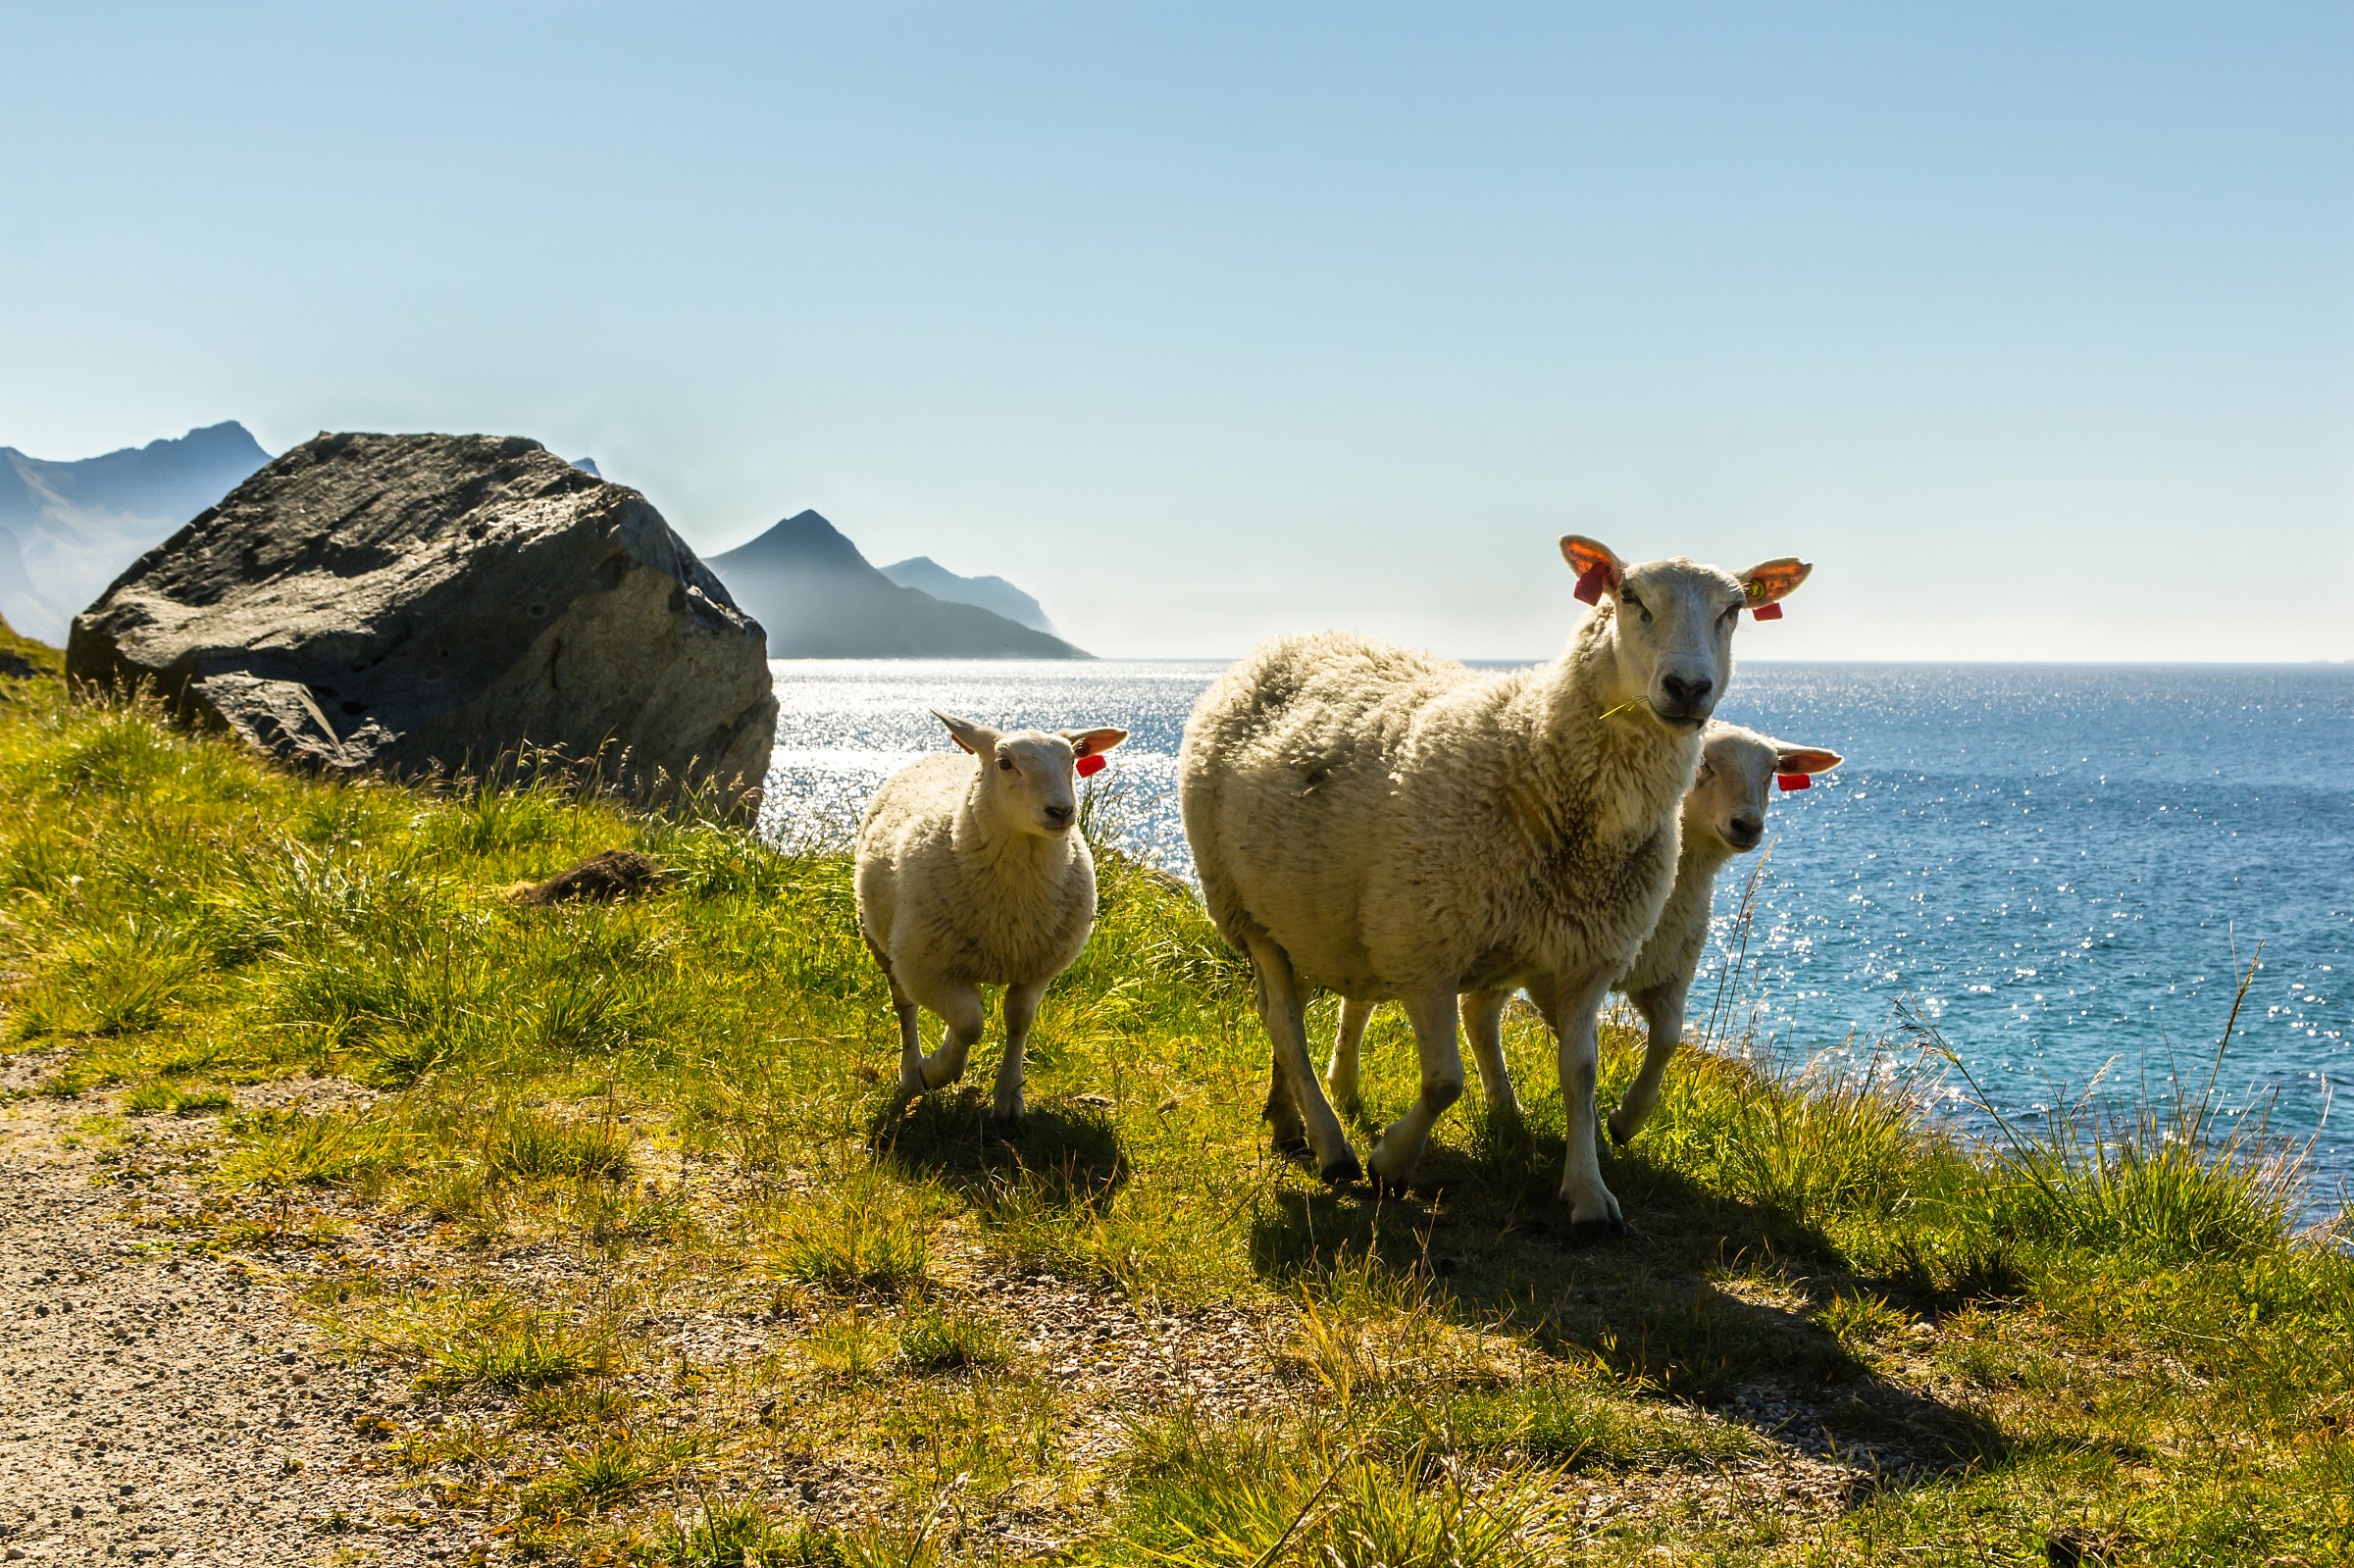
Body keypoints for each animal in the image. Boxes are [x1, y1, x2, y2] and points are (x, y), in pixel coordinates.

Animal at [856, 706, 1130, 1125]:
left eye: (1071, 761)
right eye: (1005, 763)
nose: (1061, 811)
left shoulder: (1037, 968)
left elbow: (1016, 1021)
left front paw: (1009, 1097)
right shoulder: (925, 967)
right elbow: (970, 1024)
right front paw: (937, 1070)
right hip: (884, 943)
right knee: (906, 1007)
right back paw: (912, 1073)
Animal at [1318, 715, 1845, 1135]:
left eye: (1772, 772)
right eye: (1705, 766)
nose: (1747, 826)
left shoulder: (1667, 971)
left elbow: (1667, 1041)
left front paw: (1626, 1121)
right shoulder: (1560, 973)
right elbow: (1582, 1050)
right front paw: (1594, 1129)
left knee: (1476, 1012)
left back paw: (1503, 1107)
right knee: (1368, 997)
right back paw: (1343, 1086)